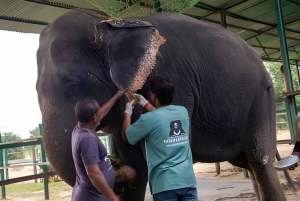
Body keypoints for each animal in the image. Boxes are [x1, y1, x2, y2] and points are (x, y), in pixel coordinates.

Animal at [36, 10, 284, 200]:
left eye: (74, 87)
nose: (114, 170)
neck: (113, 23)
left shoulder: (175, 79)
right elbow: (135, 163)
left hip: (263, 100)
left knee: (260, 161)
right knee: (248, 163)